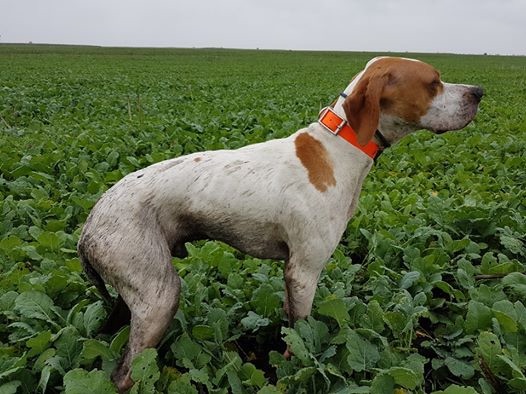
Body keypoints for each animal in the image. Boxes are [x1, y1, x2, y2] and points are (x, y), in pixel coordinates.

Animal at [76, 56, 484, 390]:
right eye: (433, 82)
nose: (479, 91)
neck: (339, 149)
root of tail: (89, 226)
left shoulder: (291, 273)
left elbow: (290, 327)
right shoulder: (304, 271)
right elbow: (300, 332)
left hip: (134, 298)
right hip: (159, 298)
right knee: (125, 376)